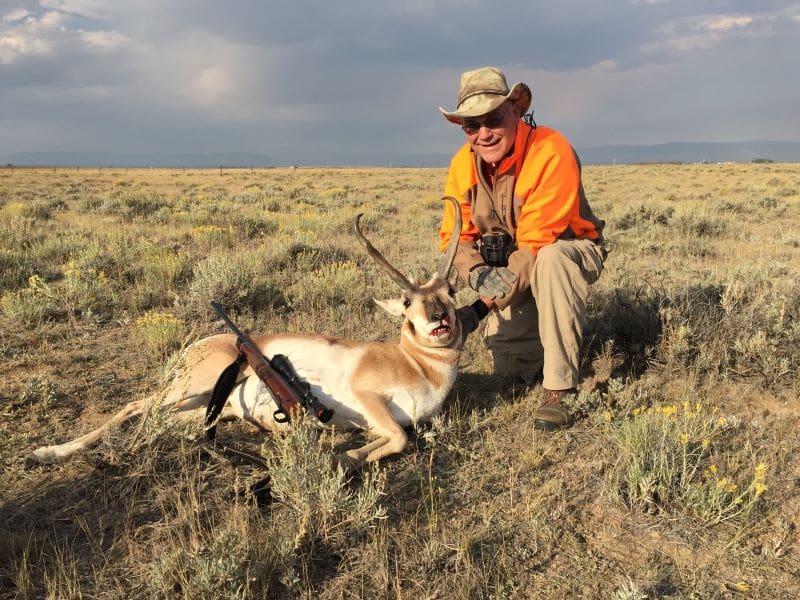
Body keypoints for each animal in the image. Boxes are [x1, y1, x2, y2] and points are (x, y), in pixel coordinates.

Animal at [26, 197, 462, 468]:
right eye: (406, 301)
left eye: (450, 291)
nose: (439, 319)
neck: (417, 365)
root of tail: (200, 345)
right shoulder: (367, 396)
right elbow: (400, 437)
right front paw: (339, 457)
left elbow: (393, 438)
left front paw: (342, 456)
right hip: (189, 387)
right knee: (135, 406)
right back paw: (47, 453)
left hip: (202, 406)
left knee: (158, 417)